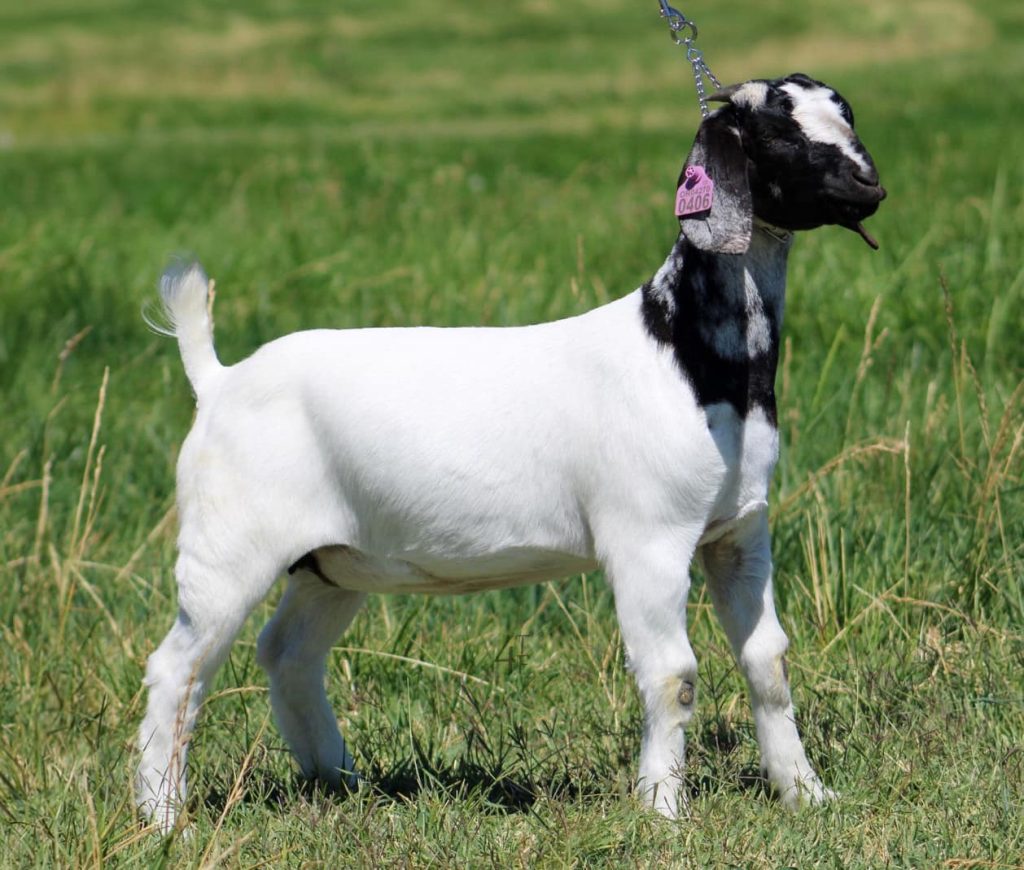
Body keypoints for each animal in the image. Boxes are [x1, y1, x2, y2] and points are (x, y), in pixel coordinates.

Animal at [137, 72, 884, 832]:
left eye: (846, 114)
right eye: (776, 132)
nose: (869, 187)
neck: (684, 350)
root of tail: (218, 380)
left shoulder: (738, 528)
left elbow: (769, 661)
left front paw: (805, 793)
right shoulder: (647, 537)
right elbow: (673, 675)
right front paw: (663, 809)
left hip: (331, 562)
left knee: (287, 654)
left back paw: (339, 780)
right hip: (229, 547)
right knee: (178, 668)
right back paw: (164, 818)